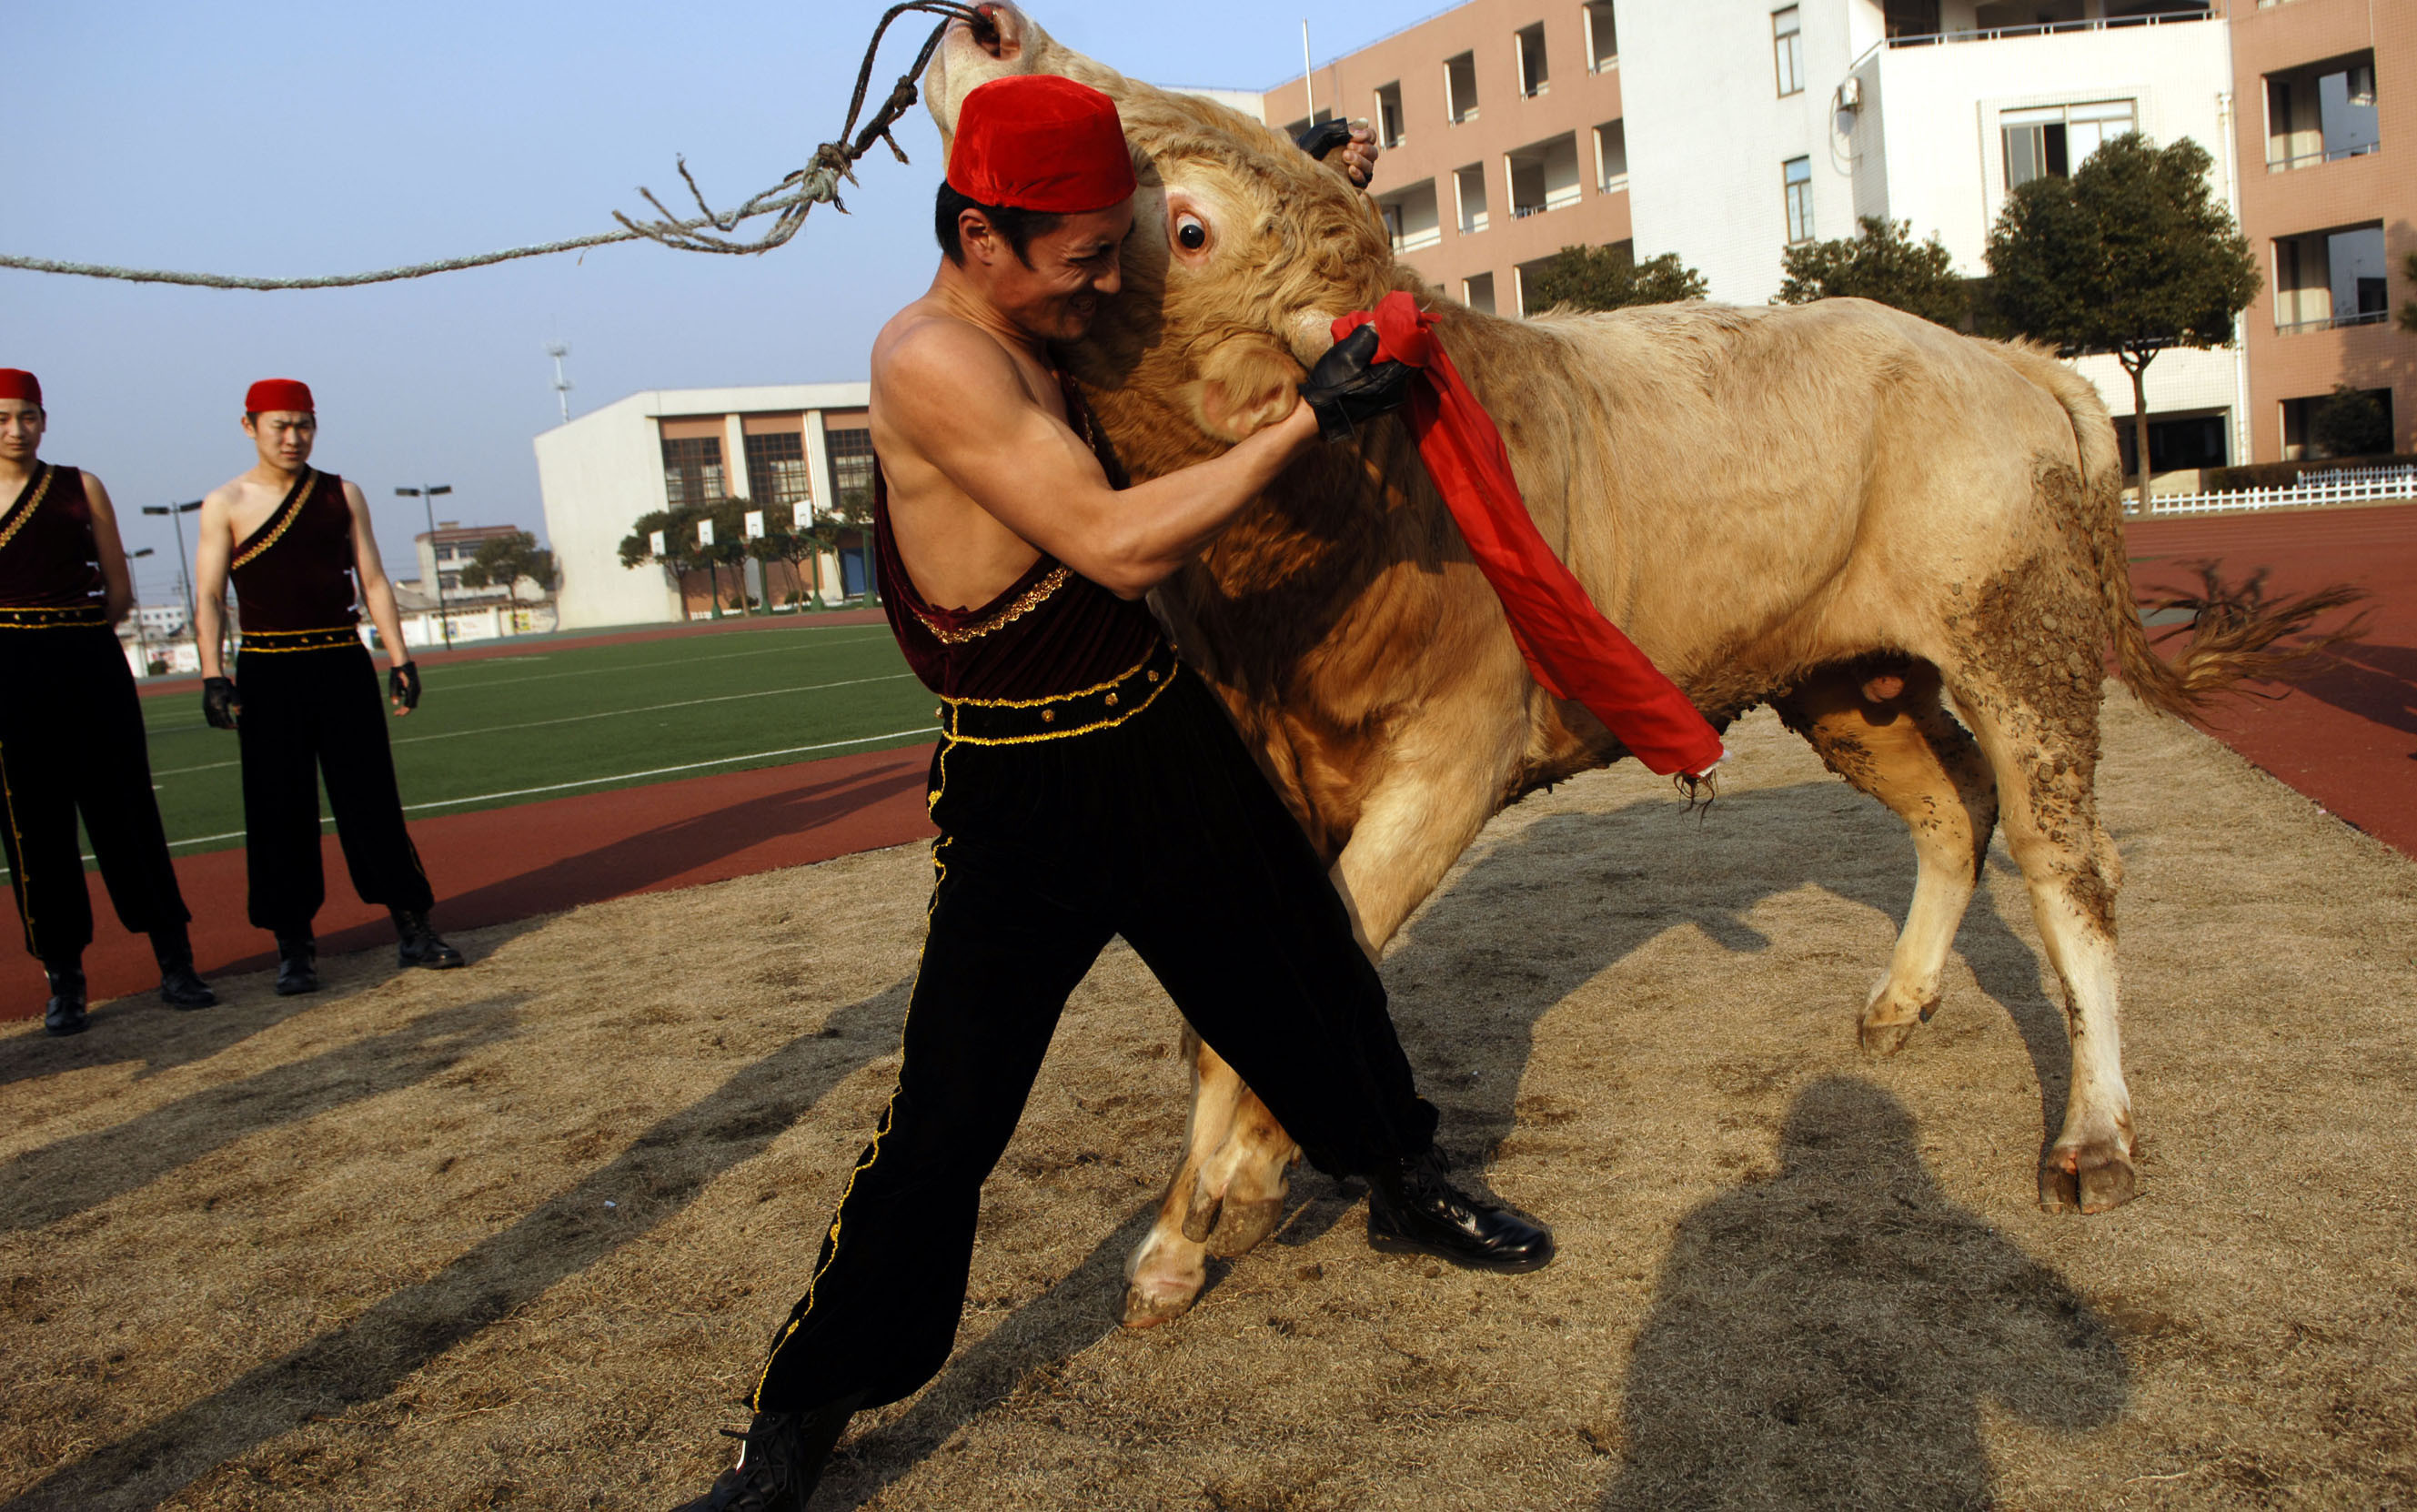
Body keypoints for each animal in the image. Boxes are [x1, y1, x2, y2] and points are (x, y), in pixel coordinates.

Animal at [918, 3, 2339, 1314]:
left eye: (1191, 225)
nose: (988, 25)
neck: (1314, 540)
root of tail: (1993, 353)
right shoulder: (1251, 767)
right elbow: (1239, 1005)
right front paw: (1198, 1217)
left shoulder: (1448, 762)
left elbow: (1306, 983)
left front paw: (1215, 1205)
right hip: (1842, 677)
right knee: (1952, 804)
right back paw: (1901, 998)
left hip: (2016, 635)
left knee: (2066, 860)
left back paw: (2093, 1136)